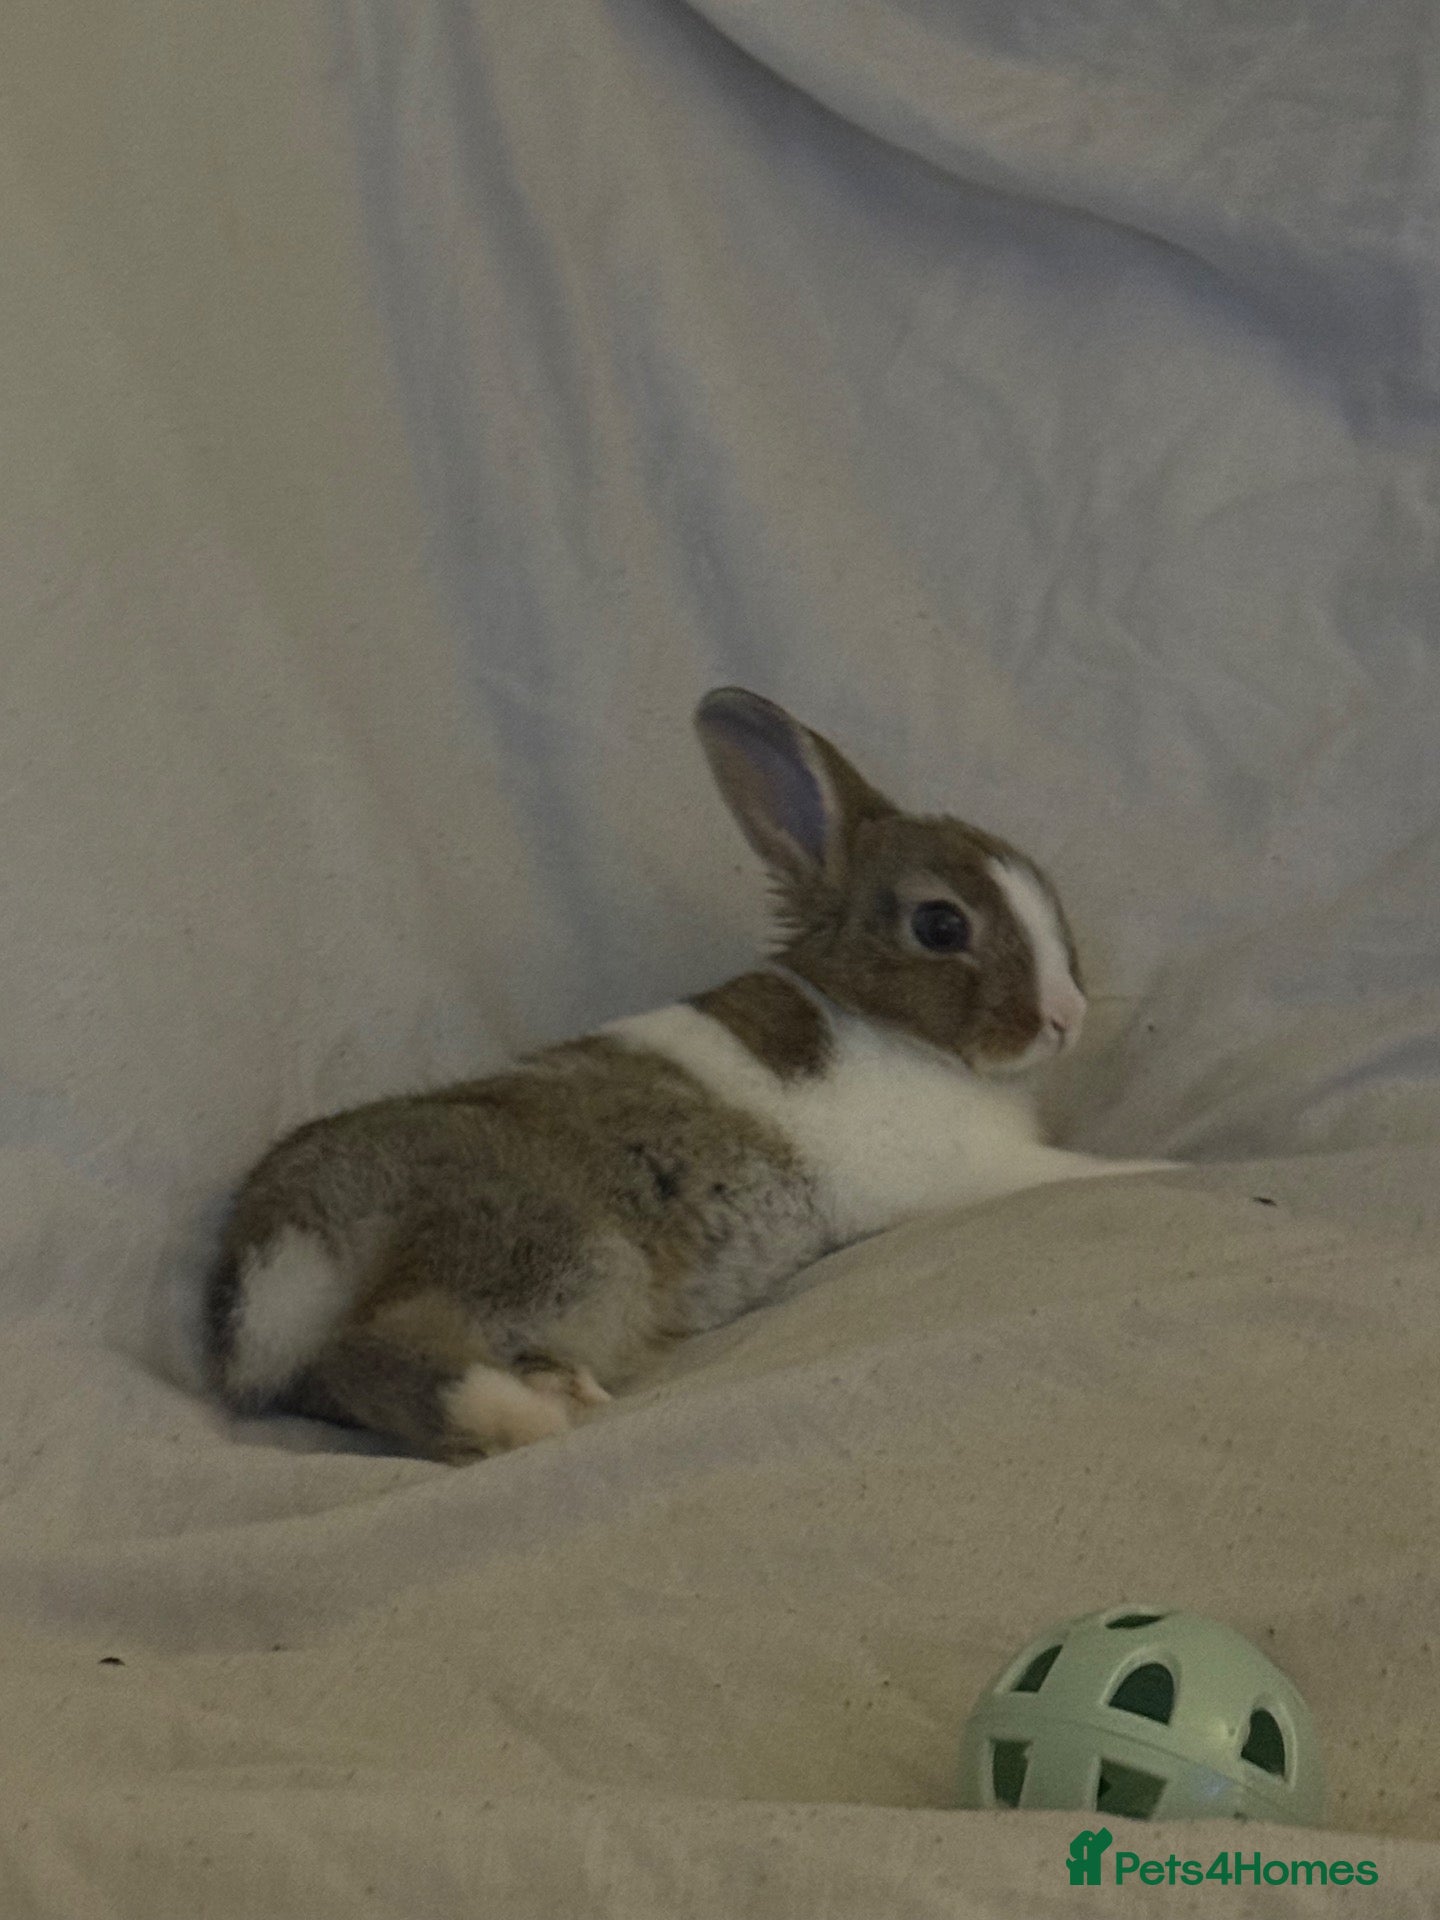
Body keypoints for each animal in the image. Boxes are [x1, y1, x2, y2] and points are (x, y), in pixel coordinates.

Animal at [205, 688, 1166, 1462]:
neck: (886, 1025)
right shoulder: (976, 1171)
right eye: (940, 925)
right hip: (548, 1245)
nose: (1067, 1017)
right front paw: (1166, 1168)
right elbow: (1082, 1173)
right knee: (377, 1344)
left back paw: (554, 1389)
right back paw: (521, 1418)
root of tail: (284, 1233)